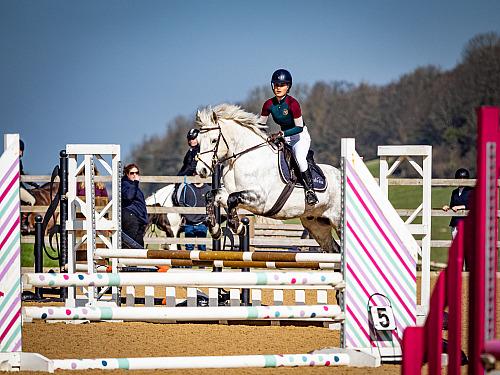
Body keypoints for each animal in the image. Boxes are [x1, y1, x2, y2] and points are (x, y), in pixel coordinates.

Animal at [197, 104, 342, 254]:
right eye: (199, 141)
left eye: (214, 140)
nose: (201, 170)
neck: (240, 159)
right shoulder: (229, 192)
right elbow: (211, 195)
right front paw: (214, 229)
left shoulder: (260, 199)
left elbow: (232, 199)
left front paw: (237, 226)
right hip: (315, 223)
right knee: (334, 249)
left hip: (337, 221)